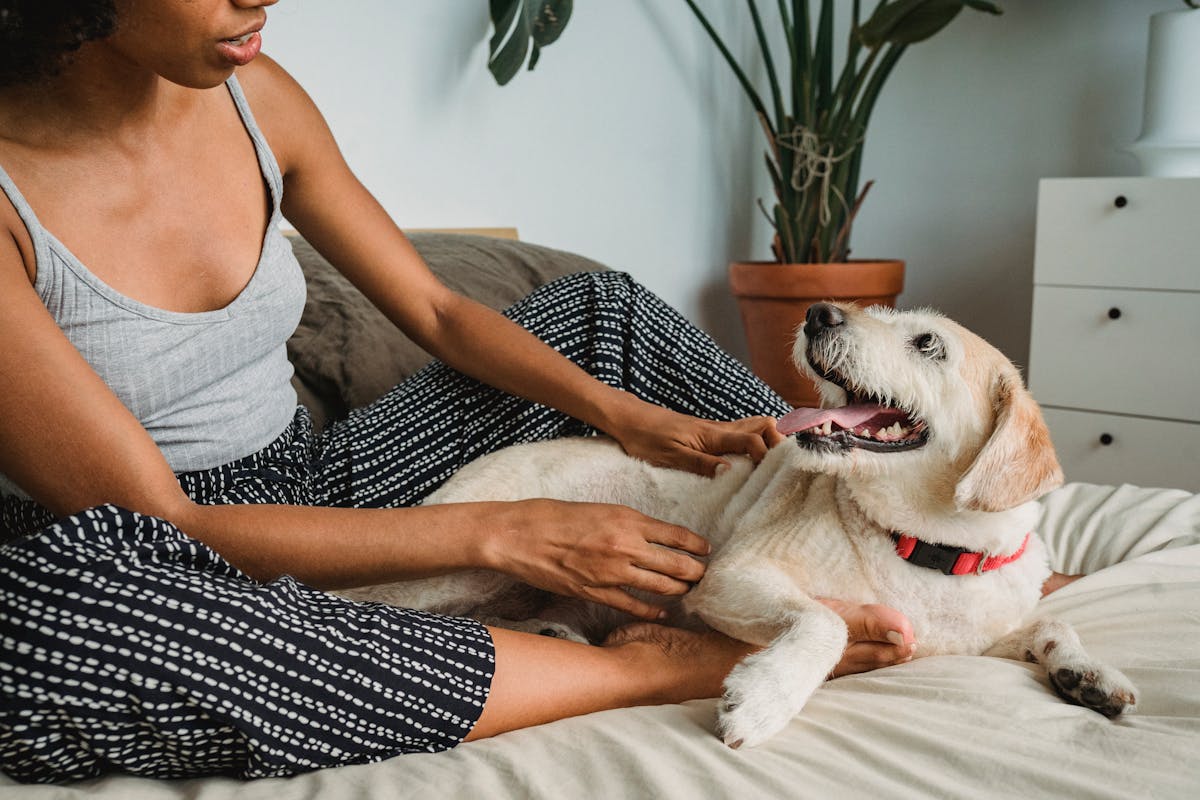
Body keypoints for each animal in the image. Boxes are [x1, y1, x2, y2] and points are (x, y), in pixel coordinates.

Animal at [345, 302, 1132, 753]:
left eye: (928, 343)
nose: (818, 310)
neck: (924, 547)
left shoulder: (976, 635)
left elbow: (1050, 624)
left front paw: (1090, 673)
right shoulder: (731, 578)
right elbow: (825, 621)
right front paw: (767, 696)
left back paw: (554, 629)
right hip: (460, 563)